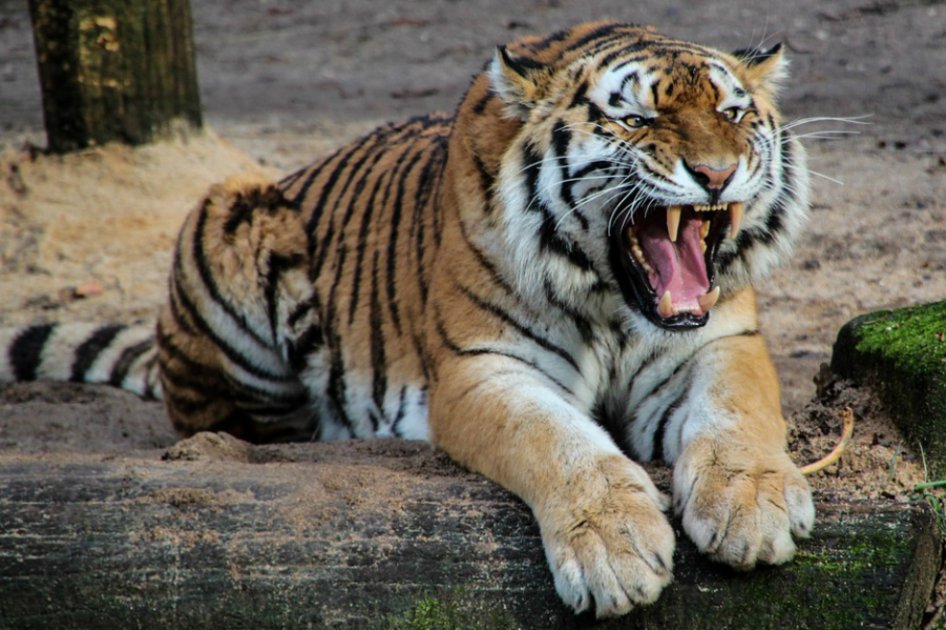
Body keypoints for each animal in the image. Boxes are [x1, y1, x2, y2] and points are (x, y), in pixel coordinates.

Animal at [0, 21, 815, 617]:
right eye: (637, 118)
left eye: (733, 113)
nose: (716, 174)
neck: (614, 301)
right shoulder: (482, 368)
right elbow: (560, 443)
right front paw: (614, 550)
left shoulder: (721, 341)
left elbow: (738, 413)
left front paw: (753, 506)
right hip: (230, 208)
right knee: (233, 424)